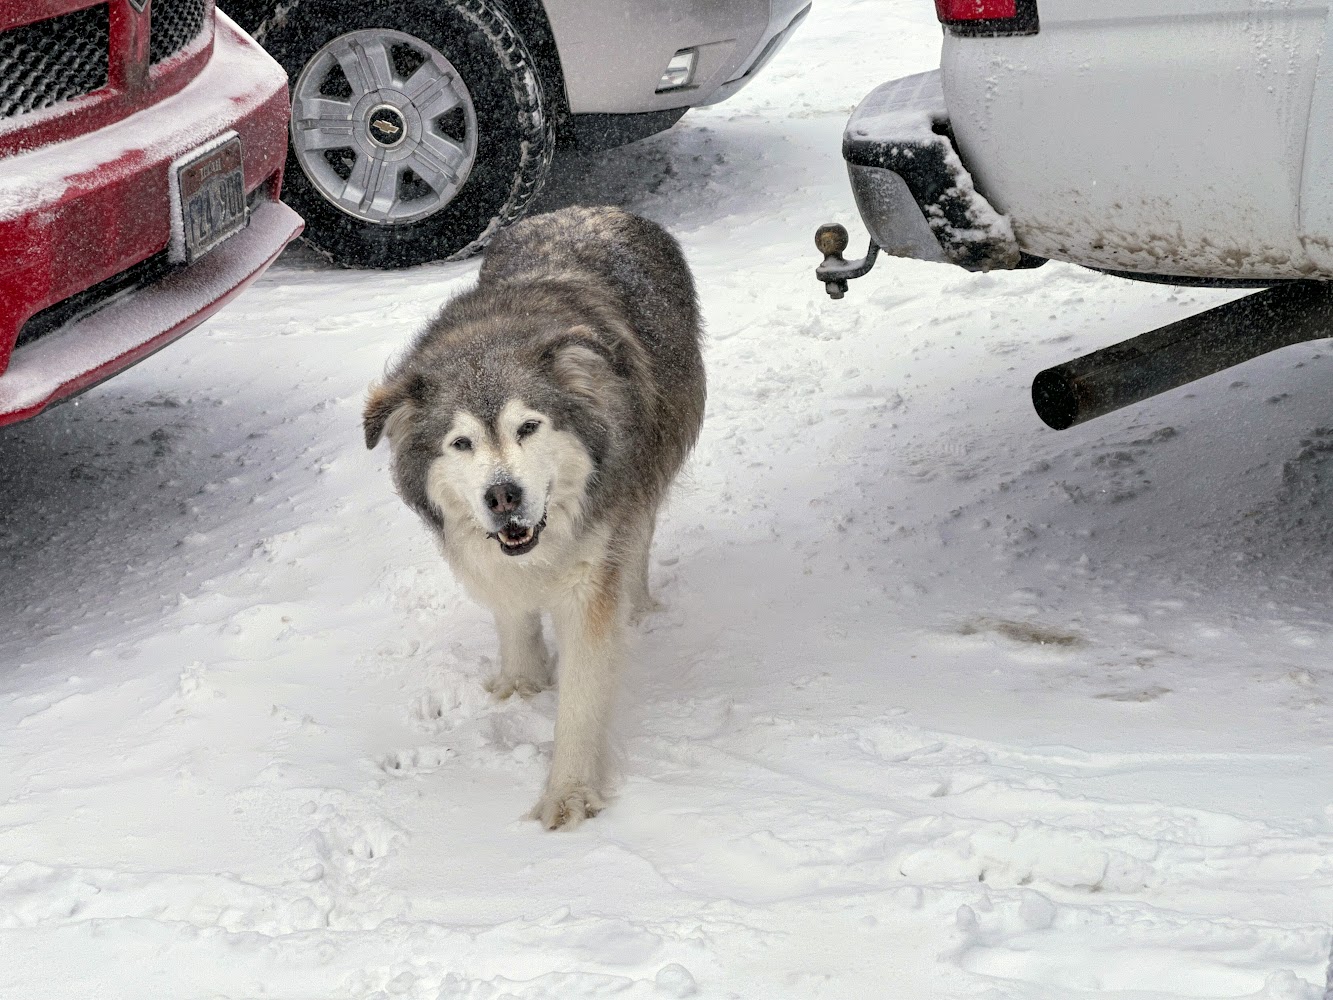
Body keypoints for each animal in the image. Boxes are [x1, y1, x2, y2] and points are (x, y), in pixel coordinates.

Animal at [359, 204, 703, 832]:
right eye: (462, 443)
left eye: (528, 427)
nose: (502, 496)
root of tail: (586, 209)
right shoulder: (496, 563)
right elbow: (513, 616)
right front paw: (523, 683)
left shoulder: (591, 580)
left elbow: (582, 700)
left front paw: (569, 794)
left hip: (654, 461)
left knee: (640, 537)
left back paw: (639, 605)